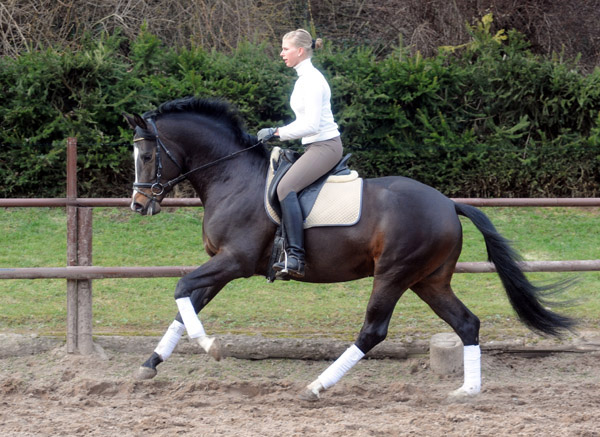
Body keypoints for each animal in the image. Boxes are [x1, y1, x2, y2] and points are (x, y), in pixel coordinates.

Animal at [124, 97, 576, 400]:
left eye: (146, 154)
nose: (138, 205)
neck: (231, 177)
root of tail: (449, 204)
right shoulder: (222, 263)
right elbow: (187, 303)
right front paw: (148, 366)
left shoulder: (234, 261)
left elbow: (181, 290)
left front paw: (211, 347)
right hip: (428, 281)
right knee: (467, 323)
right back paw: (467, 391)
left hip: (393, 274)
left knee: (373, 330)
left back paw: (316, 386)